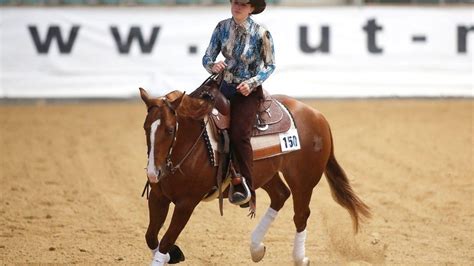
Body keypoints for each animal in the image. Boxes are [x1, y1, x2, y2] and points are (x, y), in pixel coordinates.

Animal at [139, 85, 372, 266]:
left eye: (170, 130)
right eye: (145, 127)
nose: (153, 173)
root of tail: (317, 115)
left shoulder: (186, 204)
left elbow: (166, 240)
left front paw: (170, 252)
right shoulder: (158, 197)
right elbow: (151, 236)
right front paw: (173, 254)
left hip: (304, 180)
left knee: (300, 214)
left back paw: (300, 258)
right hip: (263, 174)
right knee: (280, 195)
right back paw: (256, 248)